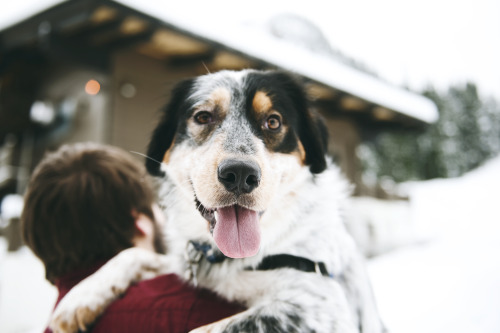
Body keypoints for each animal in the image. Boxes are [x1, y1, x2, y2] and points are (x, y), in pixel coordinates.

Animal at [49, 68, 382, 330]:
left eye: (273, 122)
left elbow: (204, 330)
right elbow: (132, 254)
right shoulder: (184, 263)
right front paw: (79, 297)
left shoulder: (321, 306)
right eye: (203, 116)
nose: (240, 174)